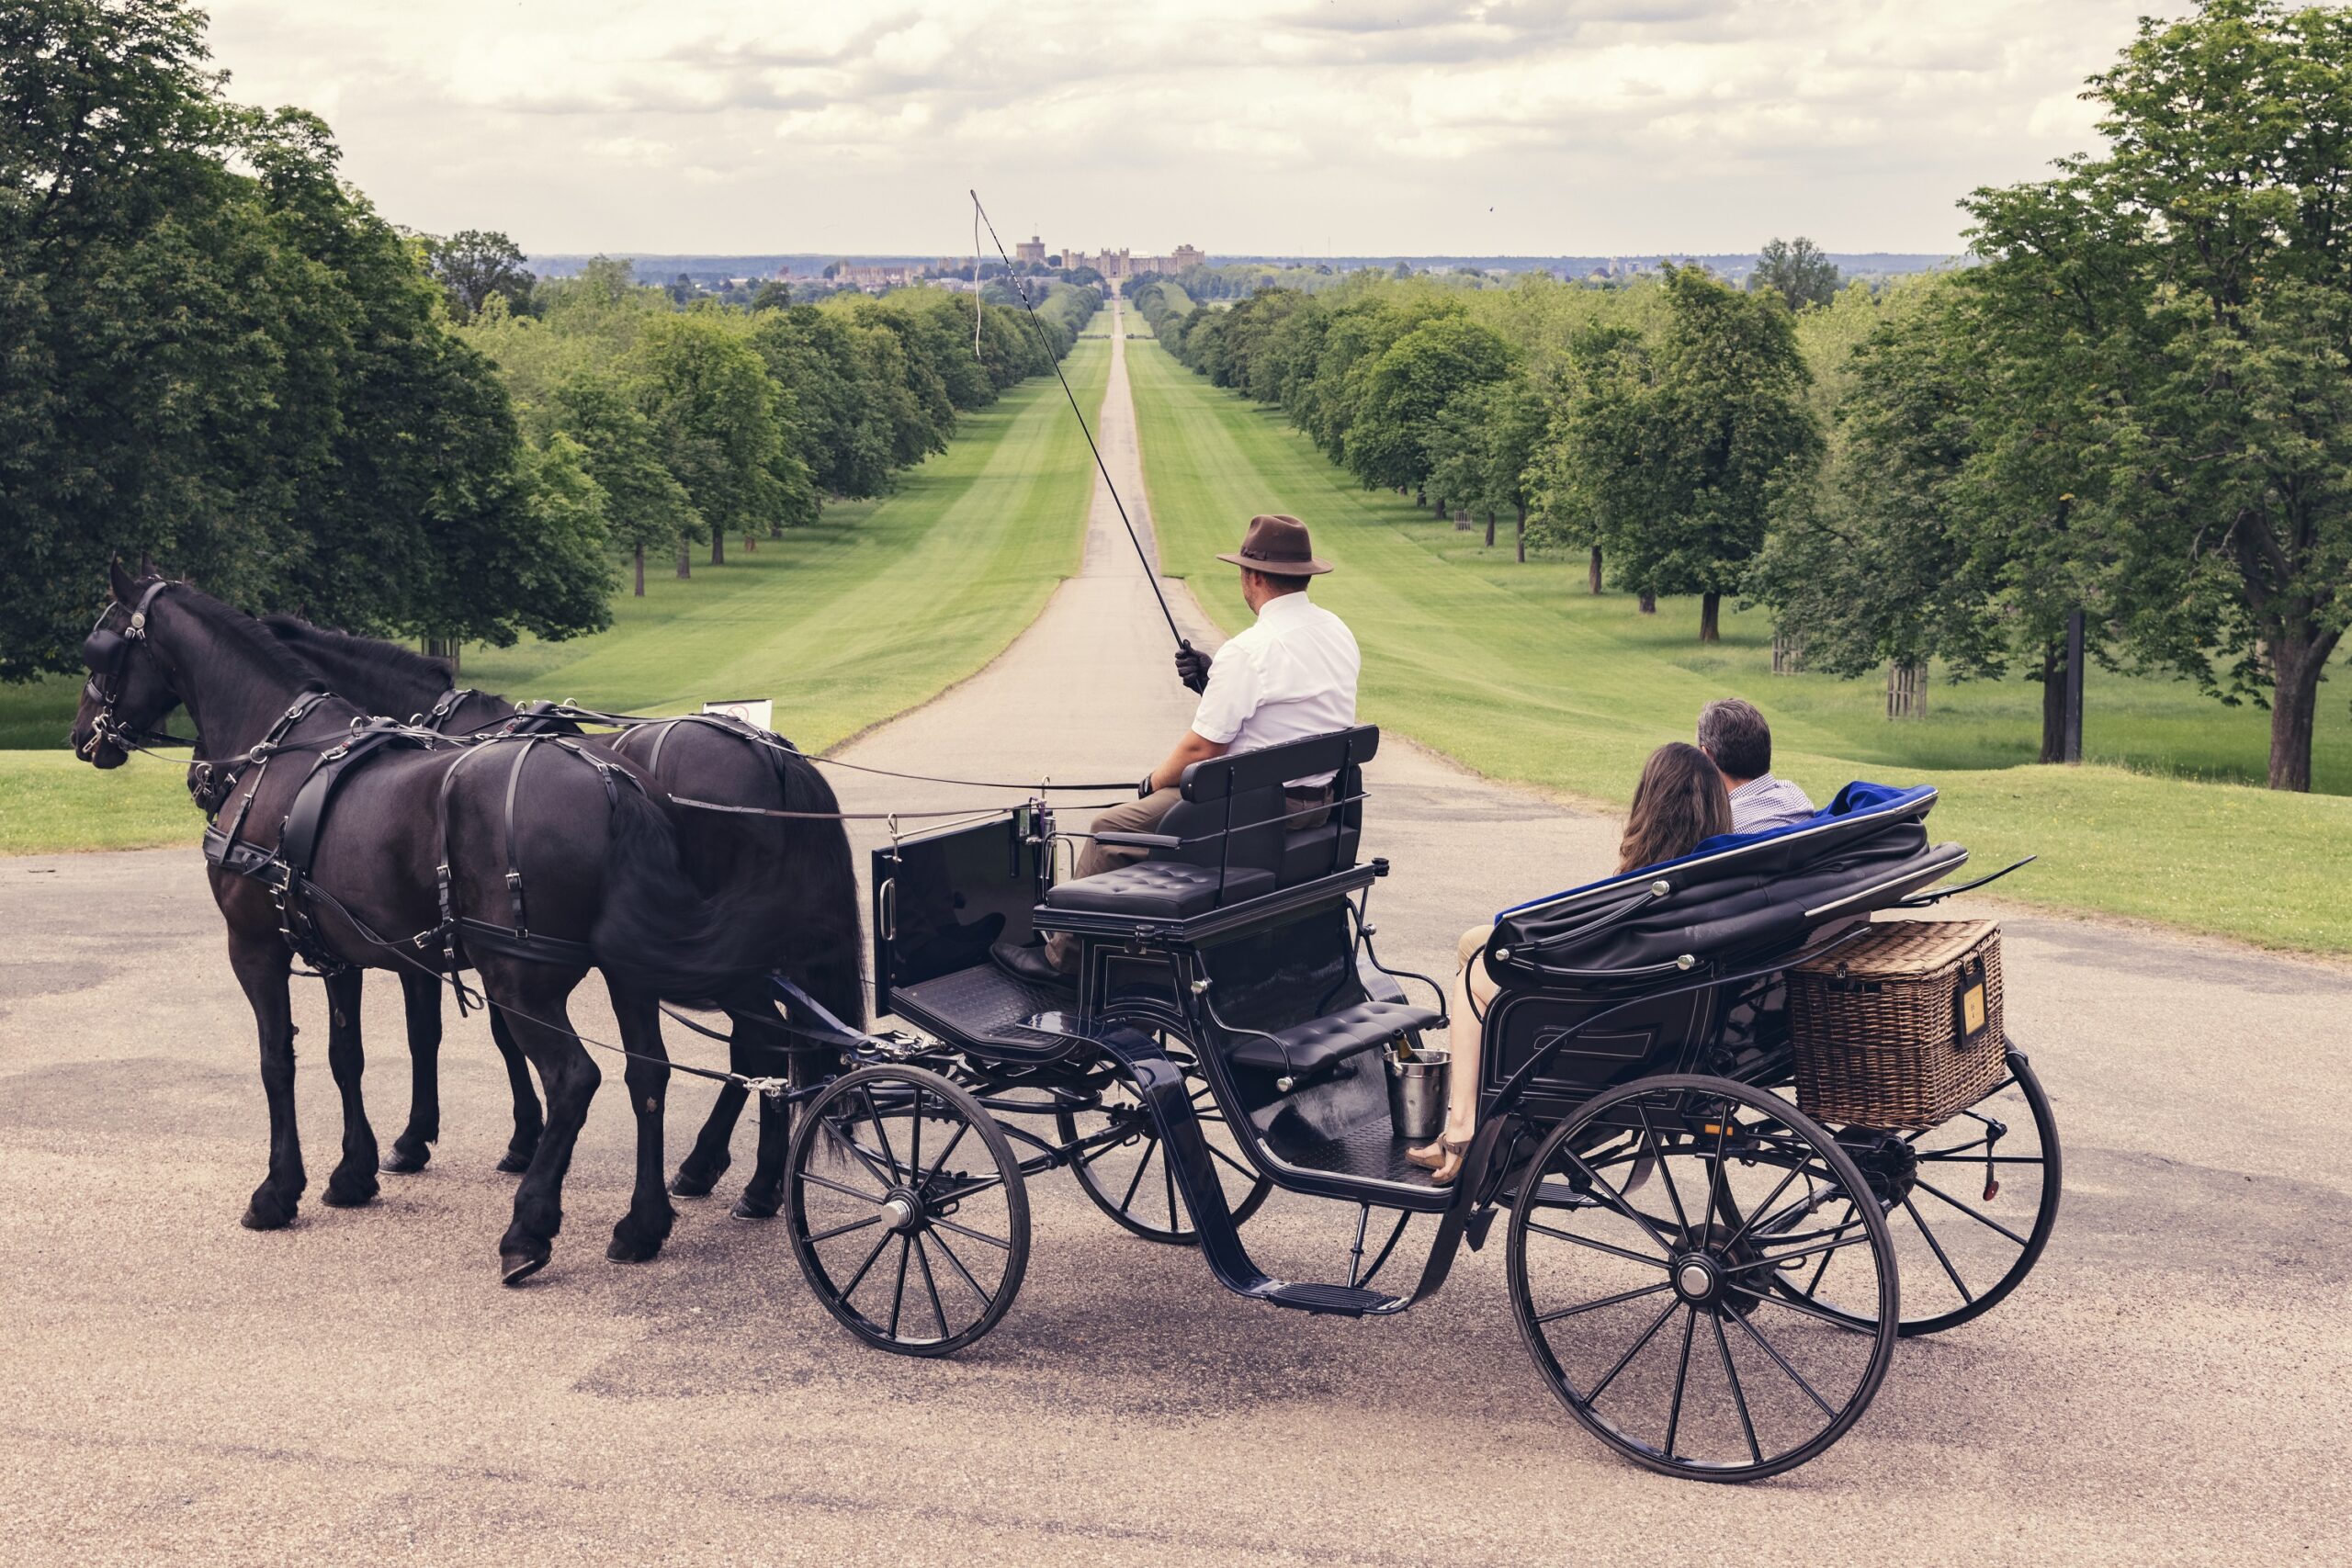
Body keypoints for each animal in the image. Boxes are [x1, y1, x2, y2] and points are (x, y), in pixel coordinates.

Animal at [262, 611, 865, 1213]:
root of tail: (772, 752)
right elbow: (475, 1033)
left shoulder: (437, 942)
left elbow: (442, 1033)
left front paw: (438, 1139)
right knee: (766, 1041)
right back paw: (739, 1175)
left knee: (755, 1043)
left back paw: (728, 1174)